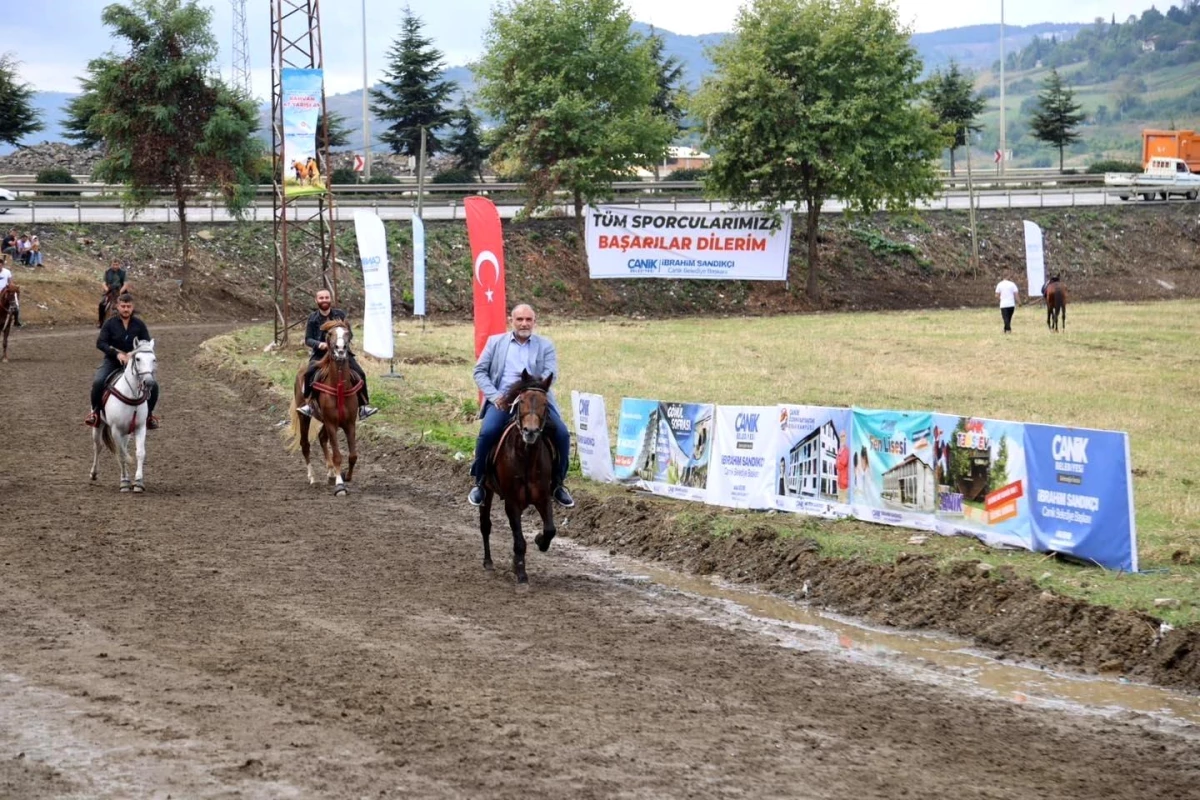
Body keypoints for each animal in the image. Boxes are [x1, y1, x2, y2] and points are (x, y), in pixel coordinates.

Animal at [90, 340, 158, 494]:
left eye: (153, 359)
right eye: (137, 359)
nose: (149, 383)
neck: (132, 395)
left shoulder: (140, 428)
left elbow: (140, 453)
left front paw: (138, 482)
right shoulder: (116, 430)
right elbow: (121, 455)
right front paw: (125, 483)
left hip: (126, 433)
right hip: (98, 426)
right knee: (98, 446)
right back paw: (94, 473)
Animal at [286, 319, 360, 494]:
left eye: (347, 333)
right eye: (330, 334)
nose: (340, 350)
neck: (339, 388)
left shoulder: (349, 423)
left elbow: (353, 455)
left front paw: (346, 476)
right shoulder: (332, 423)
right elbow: (337, 455)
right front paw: (340, 485)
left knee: (321, 438)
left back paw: (331, 473)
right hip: (304, 417)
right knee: (305, 445)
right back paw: (313, 478)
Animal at [477, 371, 556, 587]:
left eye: (545, 404)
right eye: (521, 401)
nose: (530, 431)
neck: (526, 457)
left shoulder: (543, 498)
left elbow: (550, 530)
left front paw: (540, 540)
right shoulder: (512, 502)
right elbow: (519, 541)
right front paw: (521, 573)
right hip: (486, 490)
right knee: (485, 525)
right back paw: (488, 562)